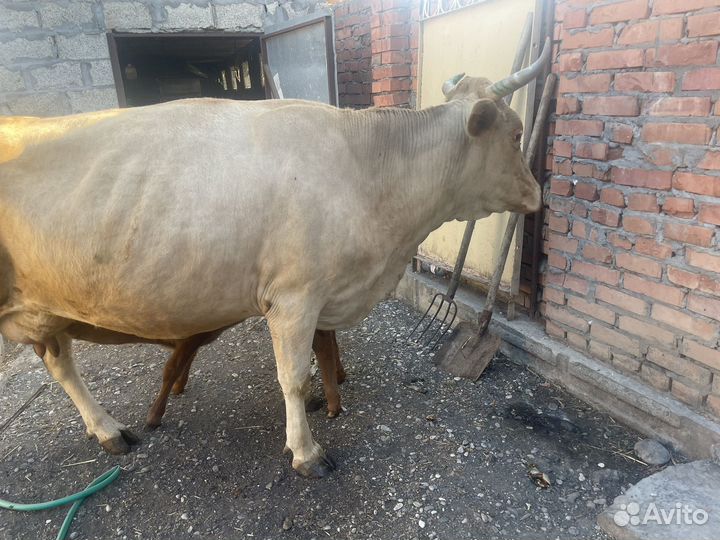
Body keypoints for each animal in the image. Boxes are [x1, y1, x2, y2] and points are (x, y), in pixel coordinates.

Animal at [0, 40, 547, 477]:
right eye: (517, 133)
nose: (537, 194)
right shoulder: (293, 297)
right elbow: (293, 376)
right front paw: (306, 452)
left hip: (42, 307)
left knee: (61, 364)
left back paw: (109, 430)